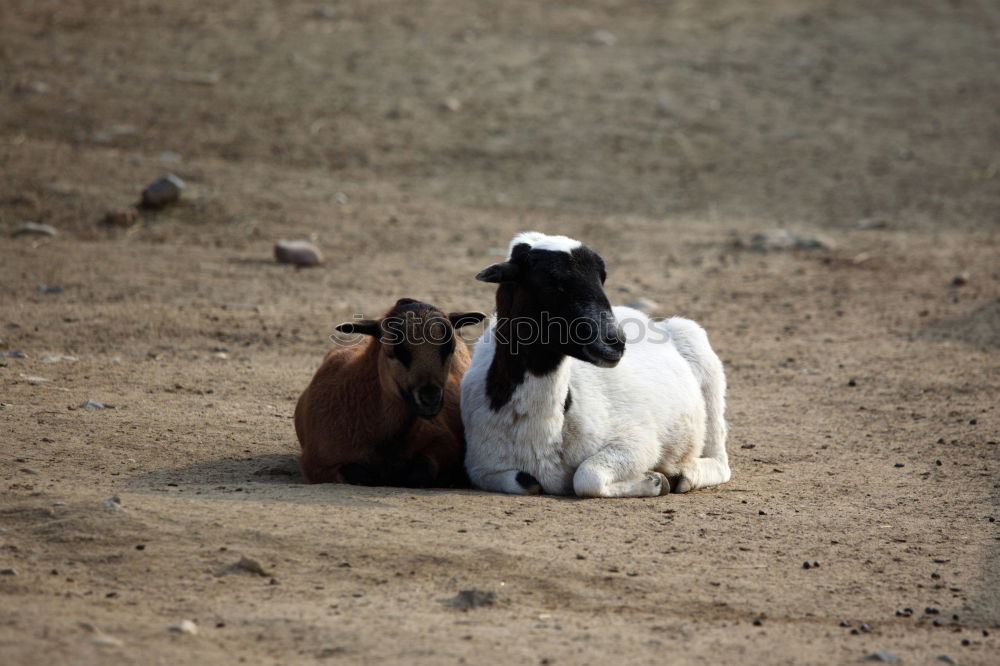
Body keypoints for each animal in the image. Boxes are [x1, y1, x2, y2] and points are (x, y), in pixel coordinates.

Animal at [294, 298, 486, 486]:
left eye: (449, 349)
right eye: (393, 352)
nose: (430, 399)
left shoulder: (443, 444)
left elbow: (419, 473)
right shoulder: (317, 464)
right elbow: (359, 475)